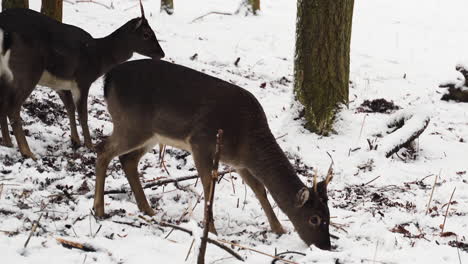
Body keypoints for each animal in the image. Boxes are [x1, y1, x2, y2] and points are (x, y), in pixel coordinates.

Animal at [0, 1, 165, 160]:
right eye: (146, 34)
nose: (162, 54)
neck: (98, 57)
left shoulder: (61, 83)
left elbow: (70, 107)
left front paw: (75, 140)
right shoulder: (83, 79)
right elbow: (83, 114)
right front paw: (90, 145)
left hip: (7, 73)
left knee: (3, 104)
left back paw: (8, 143)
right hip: (28, 68)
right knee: (12, 108)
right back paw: (27, 152)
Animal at [95, 59, 332, 250]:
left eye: (329, 216)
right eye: (314, 219)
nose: (326, 246)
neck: (248, 140)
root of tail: (108, 77)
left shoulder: (240, 162)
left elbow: (260, 190)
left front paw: (279, 229)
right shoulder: (201, 142)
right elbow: (209, 186)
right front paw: (213, 233)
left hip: (149, 133)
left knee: (128, 159)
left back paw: (147, 210)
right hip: (131, 123)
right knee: (103, 149)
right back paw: (99, 209)